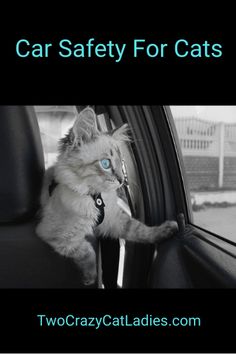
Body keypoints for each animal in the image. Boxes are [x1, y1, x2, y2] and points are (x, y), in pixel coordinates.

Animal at [36, 107, 178, 284]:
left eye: (120, 162)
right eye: (106, 164)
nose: (122, 180)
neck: (96, 197)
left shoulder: (114, 219)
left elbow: (140, 230)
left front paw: (165, 231)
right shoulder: (58, 236)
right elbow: (87, 250)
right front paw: (90, 277)